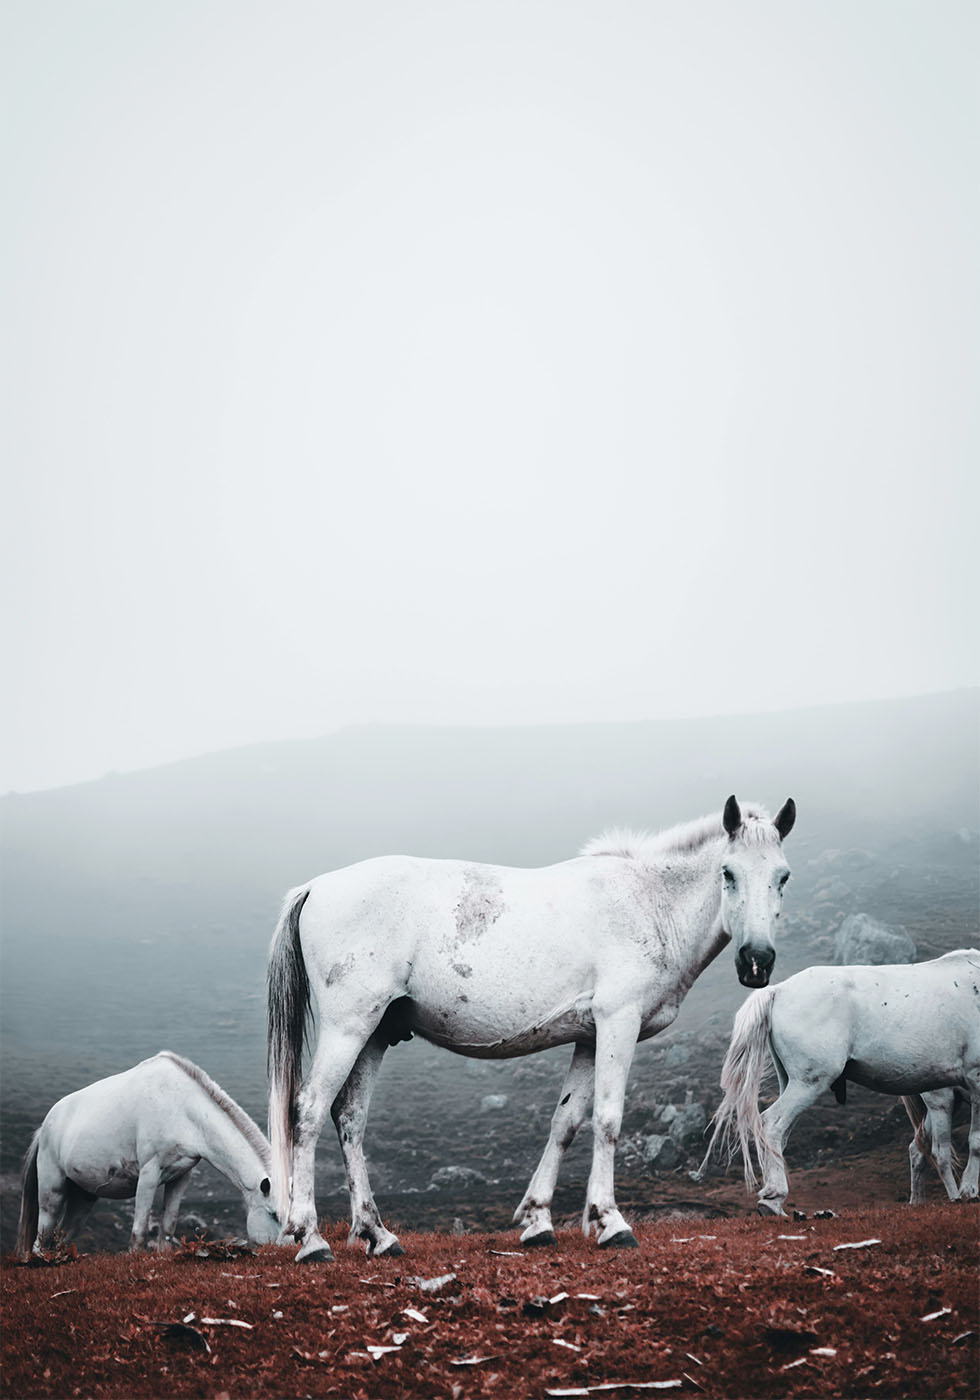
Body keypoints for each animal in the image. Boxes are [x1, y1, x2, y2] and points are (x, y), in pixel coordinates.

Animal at [18, 1052, 280, 1260]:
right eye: (273, 1214)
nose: (282, 1251)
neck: (182, 1108)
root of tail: (44, 1128)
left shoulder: (181, 1177)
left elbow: (169, 1225)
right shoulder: (149, 1174)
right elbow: (140, 1228)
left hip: (83, 1198)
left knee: (62, 1238)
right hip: (52, 1190)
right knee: (42, 1237)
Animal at [266, 795, 795, 1265]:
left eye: (783, 877)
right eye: (728, 873)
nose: (756, 961)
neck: (648, 903)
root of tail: (316, 886)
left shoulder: (589, 1037)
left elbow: (566, 1123)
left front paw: (539, 1221)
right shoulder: (617, 1022)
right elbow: (608, 1119)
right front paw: (612, 1223)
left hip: (374, 1034)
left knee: (350, 1118)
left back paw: (378, 1234)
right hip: (348, 1028)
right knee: (309, 1111)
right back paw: (311, 1239)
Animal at [697, 952, 980, 1215]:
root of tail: (778, 990)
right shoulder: (975, 1079)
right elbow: (975, 1141)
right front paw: (969, 1191)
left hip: (792, 1082)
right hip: (811, 1083)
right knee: (773, 1124)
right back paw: (773, 1200)